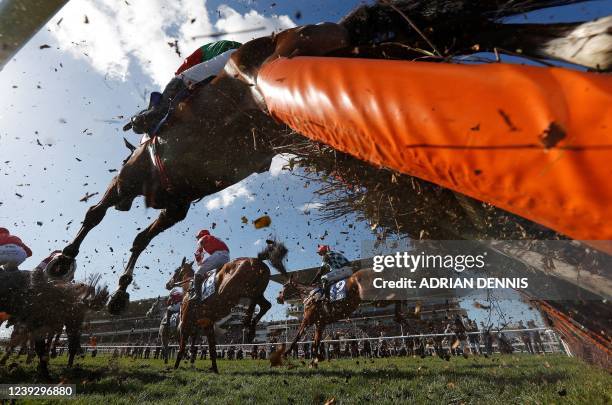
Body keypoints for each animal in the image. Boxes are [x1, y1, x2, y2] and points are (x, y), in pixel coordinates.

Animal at [53, 0, 612, 316]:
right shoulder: (176, 203)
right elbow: (137, 236)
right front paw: (118, 291)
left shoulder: (136, 181)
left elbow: (97, 214)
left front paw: (64, 262)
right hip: (379, 52)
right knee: (453, 36)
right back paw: (585, 42)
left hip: (291, 69)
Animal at [166, 238, 288, 370]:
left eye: (176, 270)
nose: (168, 284)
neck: (189, 288)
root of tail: (257, 260)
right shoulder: (207, 324)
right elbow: (212, 348)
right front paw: (214, 368)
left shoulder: (185, 323)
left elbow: (182, 348)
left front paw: (175, 367)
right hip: (255, 290)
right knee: (265, 305)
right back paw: (250, 330)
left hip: (236, 290)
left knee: (253, 302)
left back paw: (247, 324)